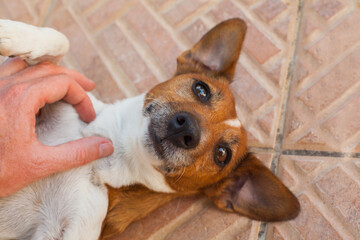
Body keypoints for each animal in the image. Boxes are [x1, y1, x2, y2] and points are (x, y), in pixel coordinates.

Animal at [0, 18, 300, 240]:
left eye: (222, 154)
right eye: (201, 89)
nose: (186, 129)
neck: (110, 148)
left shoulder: (72, 225)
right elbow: (60, 42)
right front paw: (12, 33)